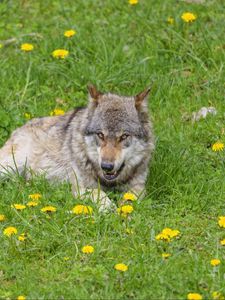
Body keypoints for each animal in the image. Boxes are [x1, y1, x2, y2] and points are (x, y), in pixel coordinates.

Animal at [0, 84, 155, 211]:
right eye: (100, 135)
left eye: (124, 136)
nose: (106, 166)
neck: (109, 182)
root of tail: (20, 128)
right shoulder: (78, 187)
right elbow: (97, 192)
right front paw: (108, 206)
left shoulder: (138, 187)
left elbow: (130, 197)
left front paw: (125, 208)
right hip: (10, 166)